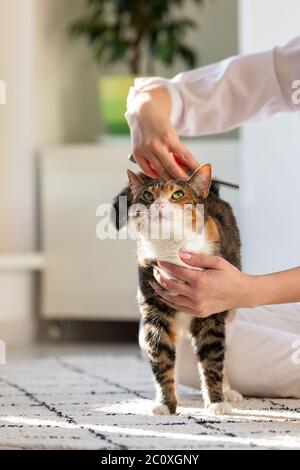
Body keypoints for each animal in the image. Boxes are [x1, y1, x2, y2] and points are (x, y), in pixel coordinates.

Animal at [113, 164, 243, 414]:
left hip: (230, 314)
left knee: (225, 351)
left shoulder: (212, 307)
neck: (172, 250)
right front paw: (165, 404)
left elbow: (213, 357)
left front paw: (216, 402)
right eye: (147, 195)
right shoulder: (154, 310)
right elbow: (161, 356)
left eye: (178, 194)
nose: (159, 204)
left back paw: (229, 391)